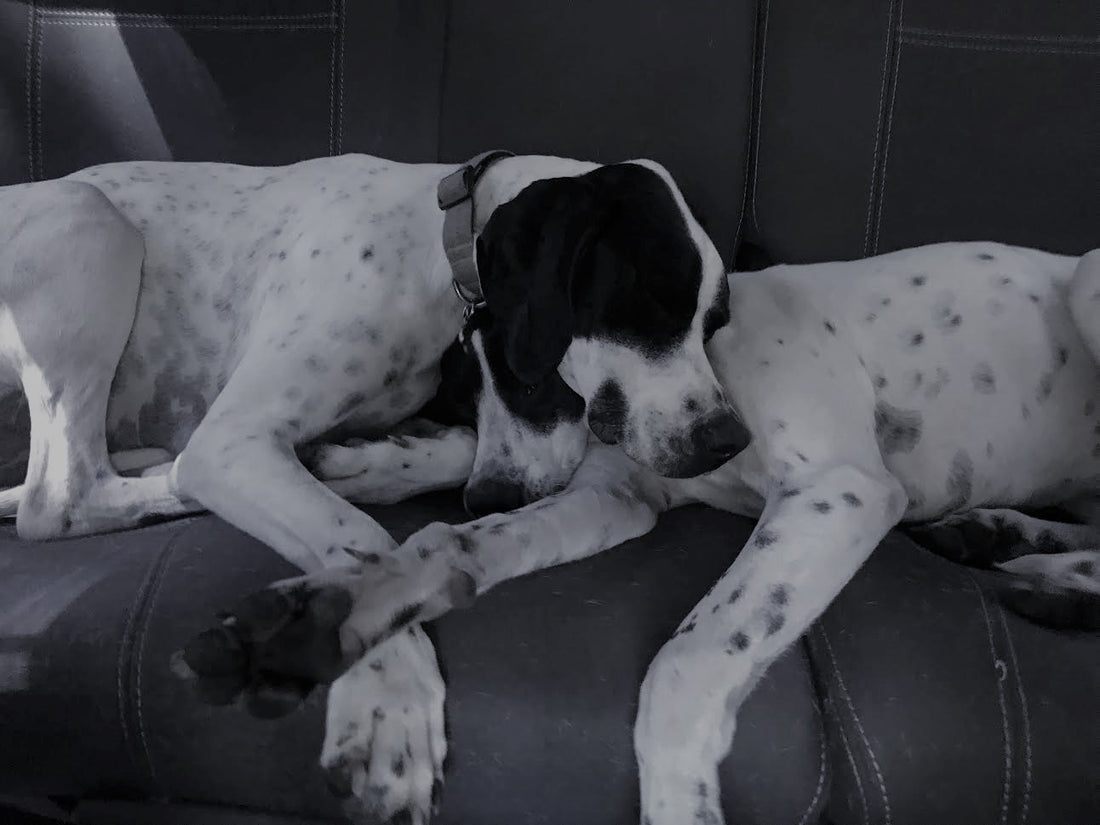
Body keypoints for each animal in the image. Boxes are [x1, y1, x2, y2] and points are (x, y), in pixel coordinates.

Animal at [0, 151, 743, 822]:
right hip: (90, 218)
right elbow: (361, 542)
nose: (725, 439)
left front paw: (381, 463)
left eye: (715, 325)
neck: (433, 252)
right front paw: (386, 698)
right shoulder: (233, 441)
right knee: (61, 500)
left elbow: (453, 455)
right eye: (650, 304)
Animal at [187, 235, 1100, 822]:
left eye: (532, 376)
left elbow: (684, 662)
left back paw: (1053, 574)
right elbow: (442, 546)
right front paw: (323, 613)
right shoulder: (616, 496)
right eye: (460, 387)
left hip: (1090, 282)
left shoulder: (839, 488)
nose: (488, 493)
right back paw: (1017, 547)